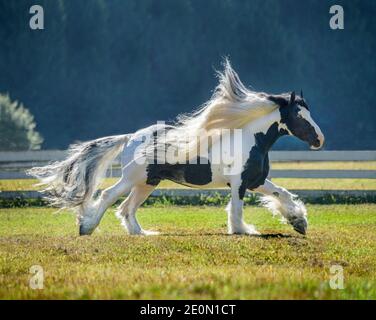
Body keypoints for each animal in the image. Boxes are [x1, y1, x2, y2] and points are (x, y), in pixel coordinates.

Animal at [27, 59, 324, 235]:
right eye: (299, 115)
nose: (319, 140)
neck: (252, 139)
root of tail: (130, 137)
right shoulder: (239, 183)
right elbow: (237, 209)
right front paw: (242, 230)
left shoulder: (255, 181)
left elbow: (282, 194)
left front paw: (299, 222)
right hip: (133, 178)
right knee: (109, 196)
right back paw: (86, 228)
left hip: (147, 183)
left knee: (126, 208)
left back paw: (141, 234)